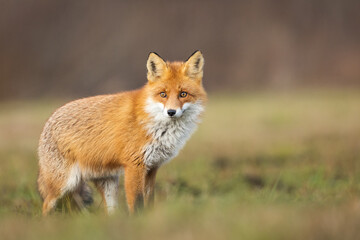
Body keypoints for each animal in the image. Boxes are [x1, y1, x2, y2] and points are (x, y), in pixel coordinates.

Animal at [37, 50, 207, 216]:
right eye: (163, 94)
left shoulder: (152, 167)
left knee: (110, 212)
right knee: (45, 205)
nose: (171, 112)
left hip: (108, 183)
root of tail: (48, 121)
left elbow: (149, 201)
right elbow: (137, 203)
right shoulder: (134, 165)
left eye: (183, 94)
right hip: (64, 183)